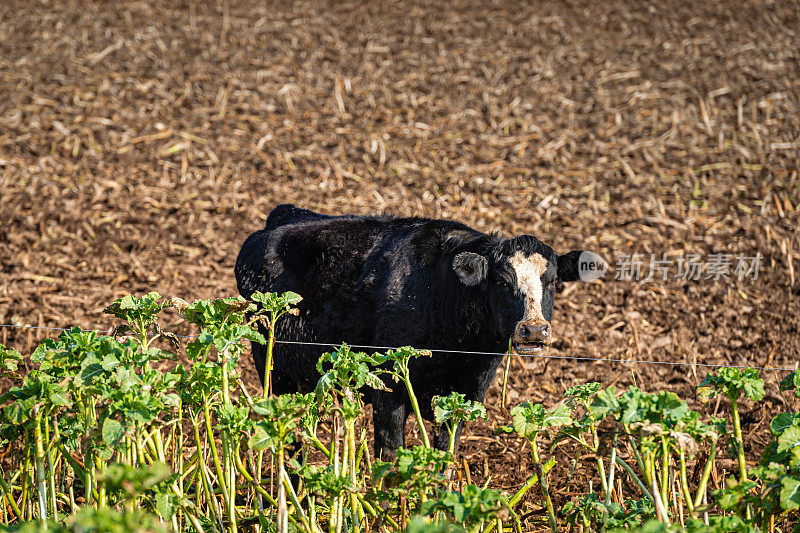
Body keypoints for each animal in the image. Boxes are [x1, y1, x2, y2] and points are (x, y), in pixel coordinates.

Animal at [234, 204, 596, 458]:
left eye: (552, 281)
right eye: (502, 281)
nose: (533, 329)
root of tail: (283, 217)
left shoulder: (466, 394)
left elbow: (445, 453)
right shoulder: (388, 385)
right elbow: (391, 455)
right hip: (274, 373)